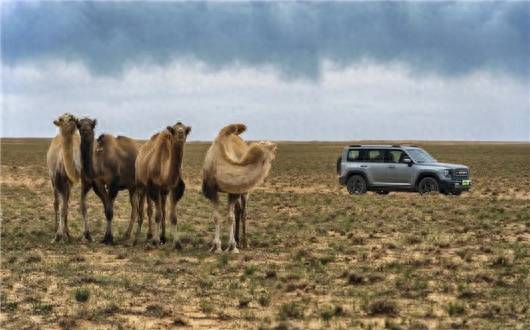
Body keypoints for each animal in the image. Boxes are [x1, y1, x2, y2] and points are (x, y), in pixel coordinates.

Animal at [46, 114, 82, 242]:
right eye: (61, 119)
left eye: (73, 117)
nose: (73, 119)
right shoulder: (57, 181)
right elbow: (60, 206)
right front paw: (58, 235)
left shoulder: (68, 183)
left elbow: (65, 207)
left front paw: (66, 233)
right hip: (52, 180)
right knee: (56, 203)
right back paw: (54, 228)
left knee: (65, 204)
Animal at [201, 123, 276, 253]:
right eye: (266, 144)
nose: (275, 145)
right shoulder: (212, 190)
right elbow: (216, 217)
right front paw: (216, 246)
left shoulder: (233, 191)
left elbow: (230, 217)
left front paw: (232, 247)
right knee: (238, 211)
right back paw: (237, 239)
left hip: (244, 191)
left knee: (243, 213)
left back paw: (244, 242)